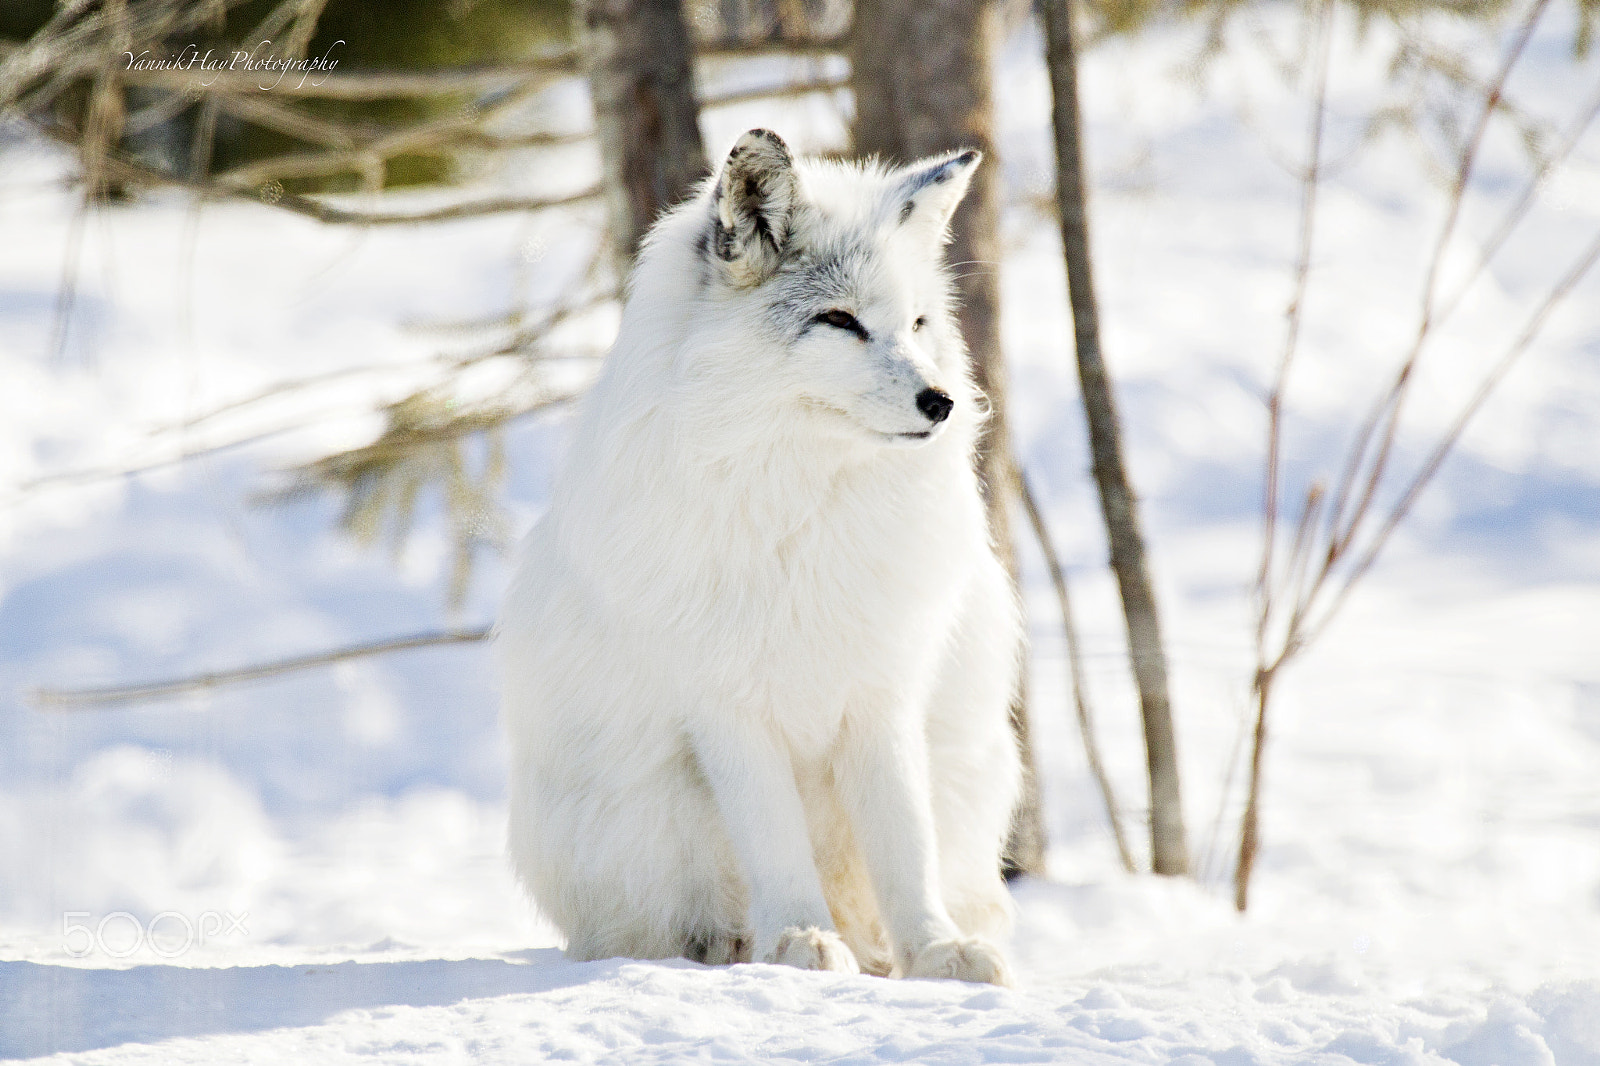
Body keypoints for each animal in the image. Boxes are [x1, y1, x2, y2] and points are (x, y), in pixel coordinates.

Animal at [498, 129, 1022, 985]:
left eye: (917, 323)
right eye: (839, 320)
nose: (940, 402)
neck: (802, 512)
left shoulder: (882, 694)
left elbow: (906, 850)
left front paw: (936, 951)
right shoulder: (727, 708)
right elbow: (776, 846)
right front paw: (799, 940)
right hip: (640, 821)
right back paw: (733, 946)